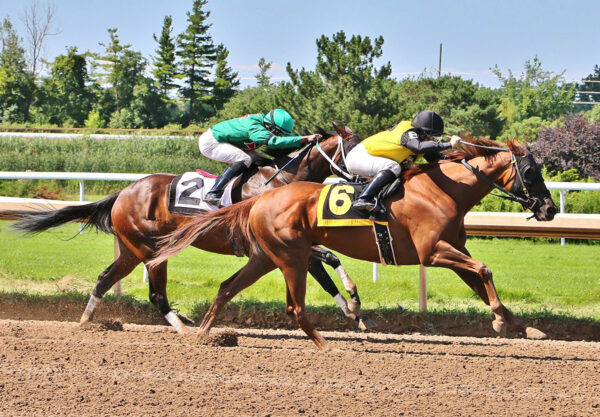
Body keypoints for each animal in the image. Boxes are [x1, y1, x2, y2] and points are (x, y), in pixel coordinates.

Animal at [9, 125, 372, 334]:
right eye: (356, 150)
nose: (368, 183)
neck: (281, 181)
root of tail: (123, 193)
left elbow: (329, 264)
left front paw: (355, 311)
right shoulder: (282, 243)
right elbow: (324, 265)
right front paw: (352, 305)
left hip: (131, 250)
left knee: (105, 278)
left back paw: (87, 322)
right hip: (150, 250)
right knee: (156, 294)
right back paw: (183, 329)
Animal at [152, 137, 560, 348]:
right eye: (530, 171)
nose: (550, 208)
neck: (444, 189)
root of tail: (259, 199)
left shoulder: (455, 250)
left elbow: (481, 280)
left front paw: (522, 326)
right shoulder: (433, 252)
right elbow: (485, 270)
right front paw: (500, 322)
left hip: (266, 257)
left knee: (227, 287)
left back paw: (203, 335)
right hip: (289, 255)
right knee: (290, 301)